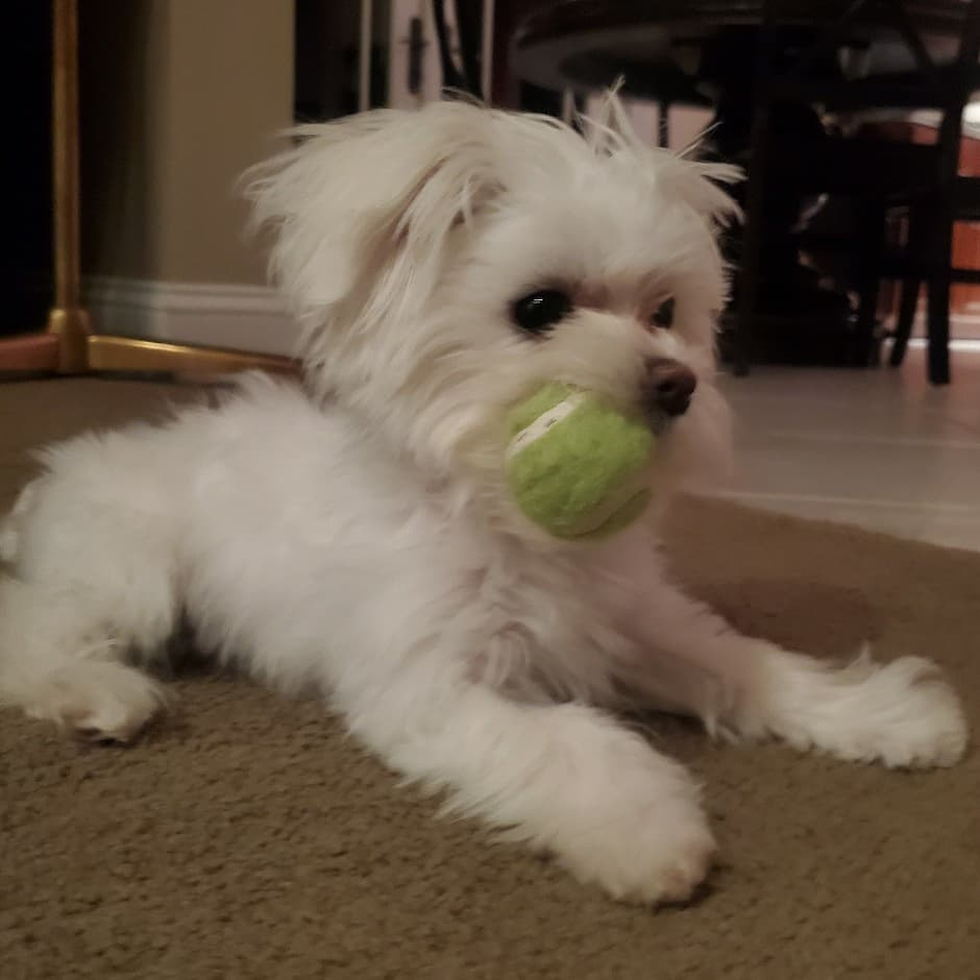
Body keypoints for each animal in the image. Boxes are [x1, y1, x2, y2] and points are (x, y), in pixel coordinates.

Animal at [0, 94, 964, 904]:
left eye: (665, 312)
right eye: (539, 307)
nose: (679, 384)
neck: (505, 517)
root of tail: (65, 470)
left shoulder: (632, 624)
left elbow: (747, 664)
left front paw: (886, 715)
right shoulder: (432, 682)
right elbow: (573, 742)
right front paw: (646, 830)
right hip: (130, 573)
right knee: (34, 628)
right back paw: (99, 695)